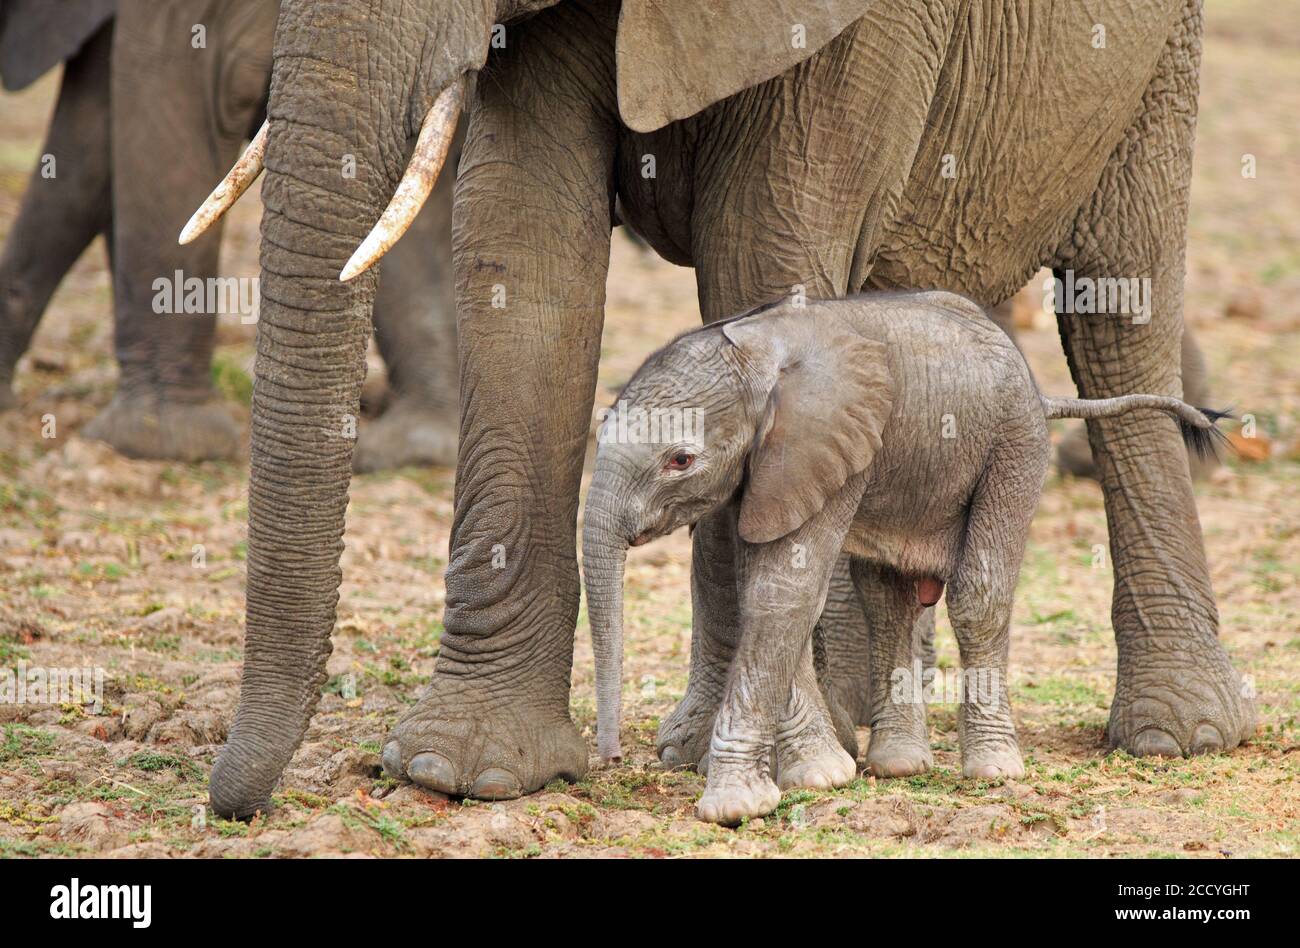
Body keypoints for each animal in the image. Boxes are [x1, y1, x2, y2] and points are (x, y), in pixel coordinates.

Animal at [585, 288, 1222, 821]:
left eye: (680, 460)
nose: (610, 760)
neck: (755, 349)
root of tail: (1042, 393)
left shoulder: (822, 450)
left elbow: (784, 591)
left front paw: (735, 806)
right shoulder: (767, 473)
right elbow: (771, 593)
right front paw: (821, 775)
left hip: (1014, 445)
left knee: (979, 594)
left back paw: (993, 770)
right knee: (887, 600)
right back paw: (898, 765)